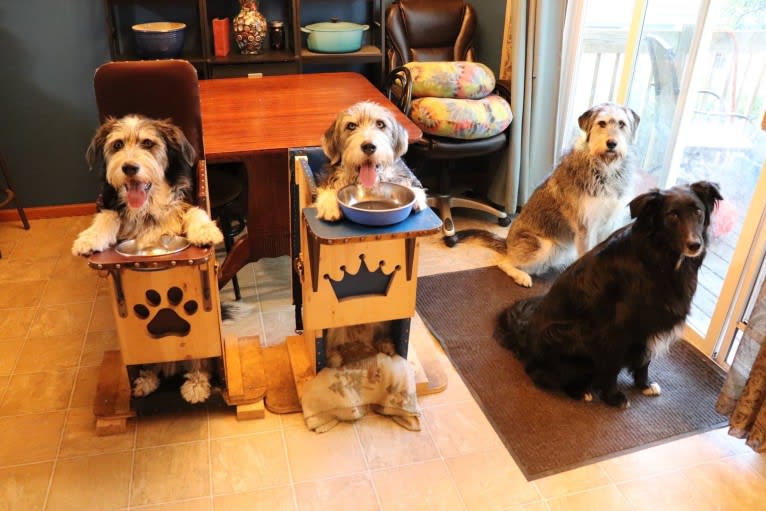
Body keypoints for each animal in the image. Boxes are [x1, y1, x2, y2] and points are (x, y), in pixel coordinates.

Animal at [462, 103, 640, 288]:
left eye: (621, 124)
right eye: (602, 123)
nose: (612, 143)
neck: (607, 169)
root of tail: (507, 243)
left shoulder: (610, 224)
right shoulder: (585, 228)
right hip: (543, 245)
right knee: (504, 263)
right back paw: (522, 277)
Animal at [498, 182, 728, 410]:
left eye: (698, 212)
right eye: (672, 215)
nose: (695, 244)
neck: (660, 257)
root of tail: (524, 340)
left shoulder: (648, 326)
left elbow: (645, 360)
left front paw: (644, 385)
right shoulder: (617, 329)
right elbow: (613, 366)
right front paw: (613, 396)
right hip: (571, 333)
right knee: (541, 375)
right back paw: (580, 391)